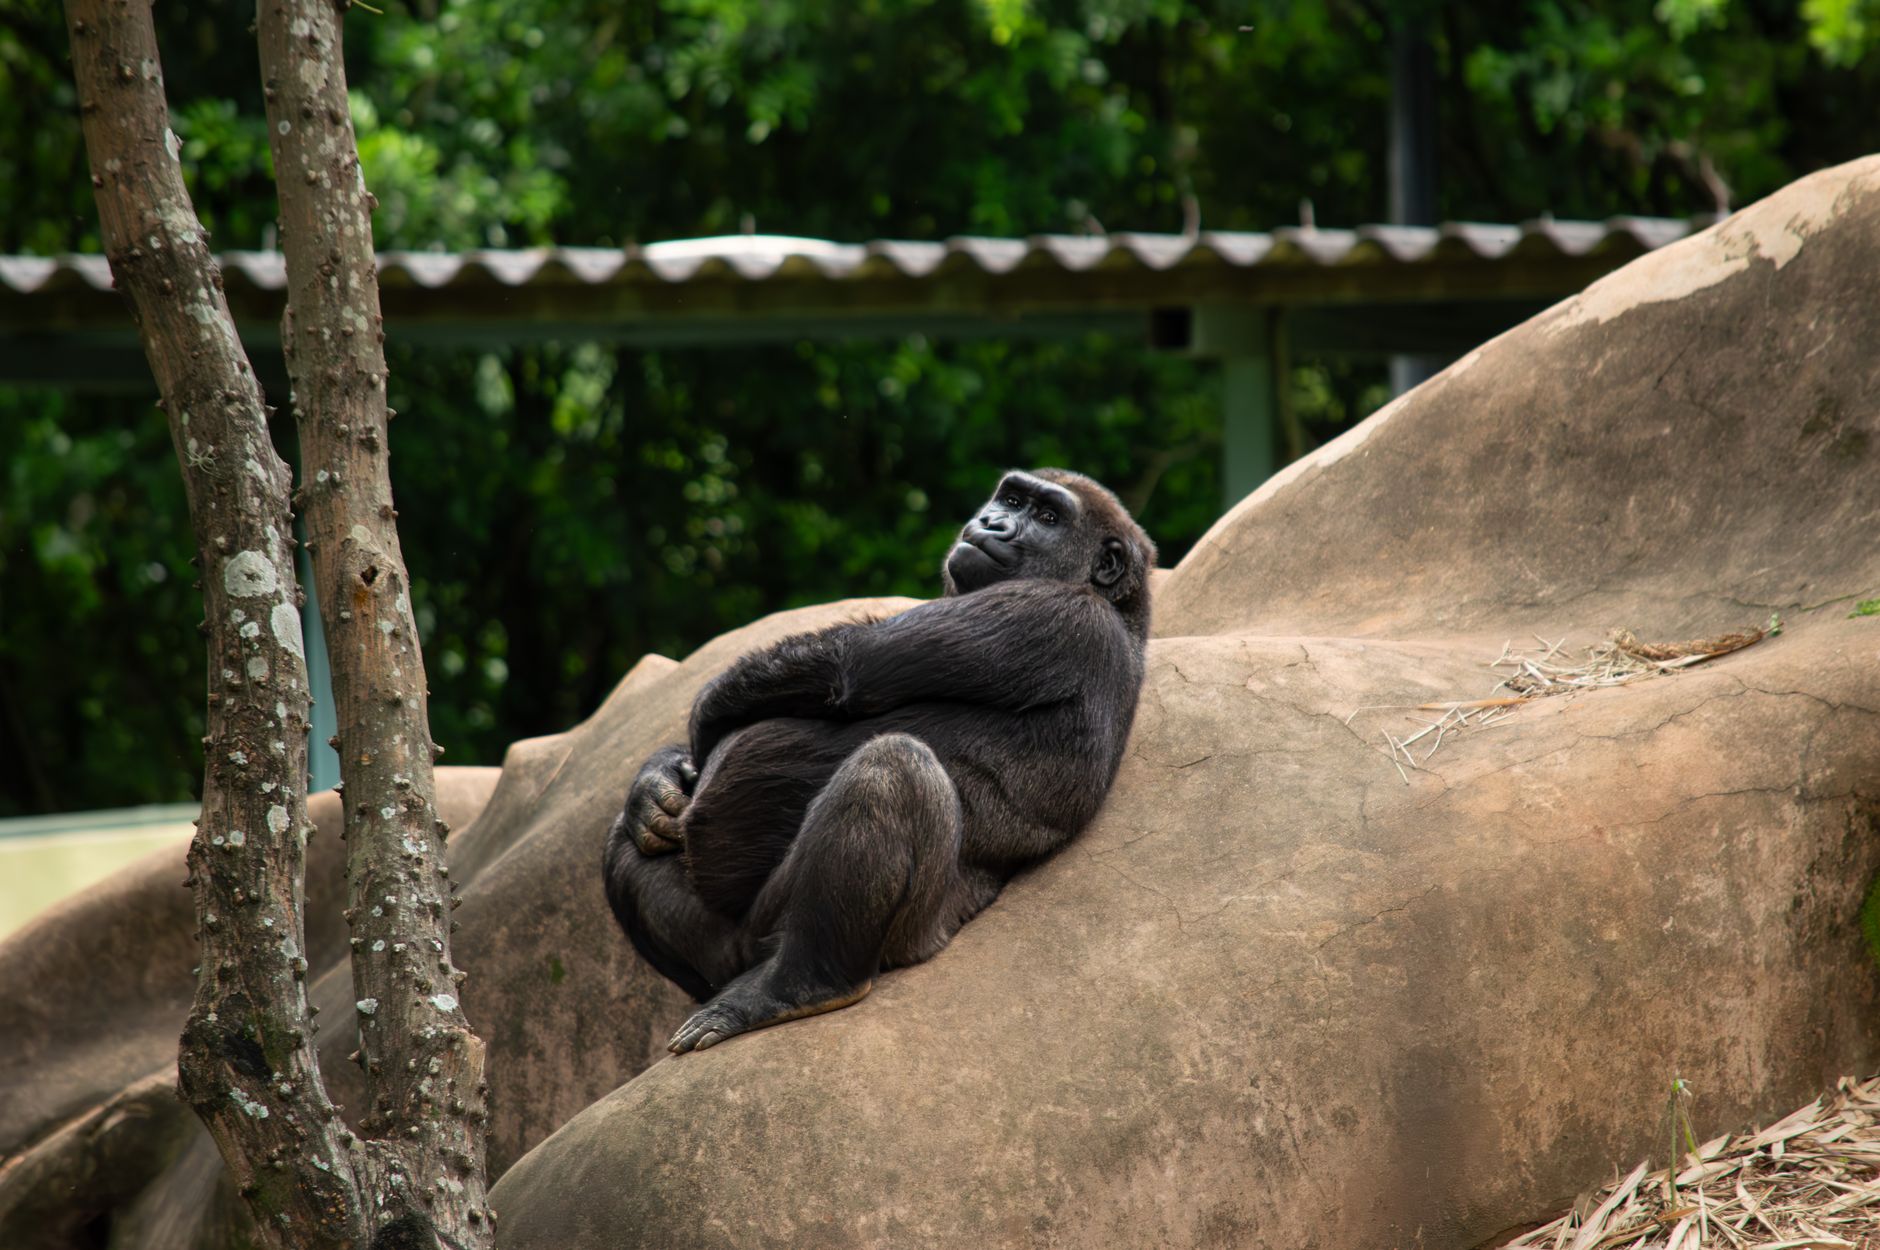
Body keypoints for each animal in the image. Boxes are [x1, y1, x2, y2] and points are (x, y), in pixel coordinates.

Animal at [603, 468, 1155, 1053]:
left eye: (1048, 517)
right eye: (1009, 499)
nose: (991, 522)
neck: (1124, 610)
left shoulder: (1053, 613)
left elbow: (849, 666)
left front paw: (705, 719)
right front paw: (659, 777)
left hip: (913, 936)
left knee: (891, 768)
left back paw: (803, 984)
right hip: (735, 947)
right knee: (633, 843)